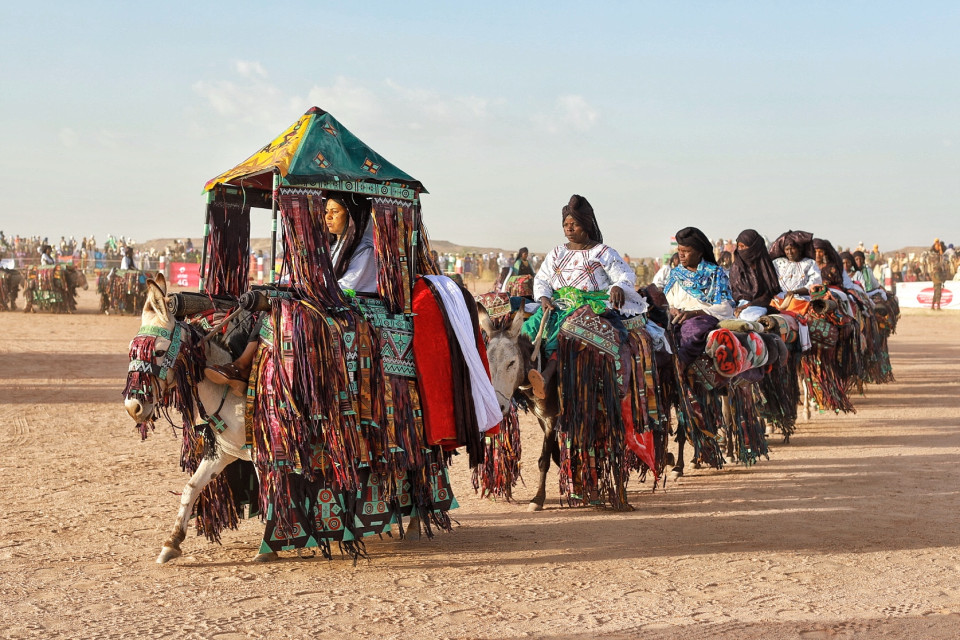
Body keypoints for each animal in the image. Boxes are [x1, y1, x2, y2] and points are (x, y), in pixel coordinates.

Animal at [122, 273, 275, 564]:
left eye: (159, 352)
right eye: (131, 351)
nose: (133, 407)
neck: (232, 390)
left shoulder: (264, 452)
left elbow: (271, 492)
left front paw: (270, 545)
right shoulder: (224, 452)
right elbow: (191, 487)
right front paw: (171, 542)